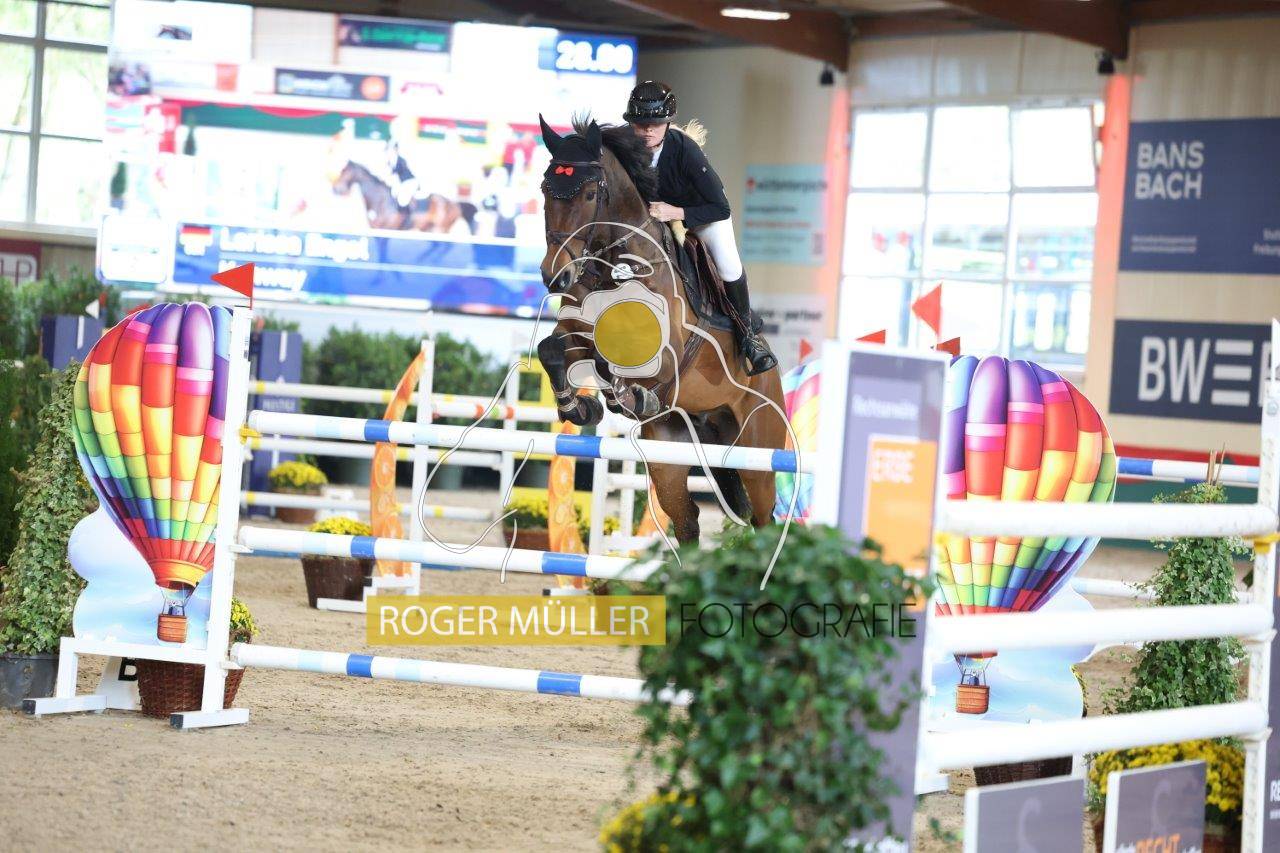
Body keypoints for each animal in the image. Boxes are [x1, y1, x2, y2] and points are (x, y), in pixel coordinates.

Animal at [535, 117, 785, 545]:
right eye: (545, 190)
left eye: (589, 193)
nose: (556, 276)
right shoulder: (576, 332)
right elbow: (553, 350)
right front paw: (580, 407)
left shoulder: (666, 356)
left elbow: (613, 365)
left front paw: (625, 397)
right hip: (670, 454)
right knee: (686, 520)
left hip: (758, 454)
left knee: (764, 516)